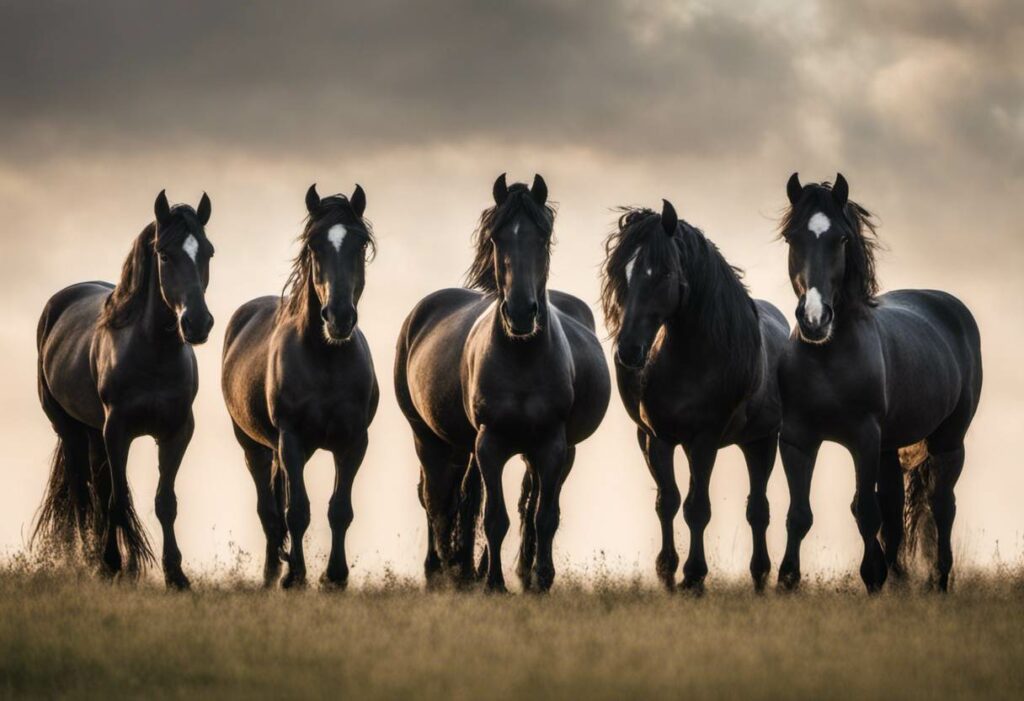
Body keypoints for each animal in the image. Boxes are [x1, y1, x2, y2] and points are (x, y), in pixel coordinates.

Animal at [34, 188, 215, 589]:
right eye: (164, 254)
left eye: (208, 251)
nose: (197, 323)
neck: (152, 353)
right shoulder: (117, 430)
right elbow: (115, 501)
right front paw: (111, 564)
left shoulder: (178, 431)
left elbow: (165, 502)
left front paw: (175, 574)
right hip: (70, 430)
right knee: (83, 494)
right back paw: (89, 560)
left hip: (94, 434)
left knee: (97, 489)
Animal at [223, 183, 380, 589]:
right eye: (314, 245)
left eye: (360, 243)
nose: (339, 317)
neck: (326, 360)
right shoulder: (290, 440)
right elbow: (297, 511)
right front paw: (296, 576)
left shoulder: (353, 442)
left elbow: (340, 510)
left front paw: (335, 577)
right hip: (255, 447)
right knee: (269, 510)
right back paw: (271, 574)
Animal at [393, 173, 606, 589]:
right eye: (497, 237)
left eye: (543, 236)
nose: (521, 313)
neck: (521, 358)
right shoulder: (489, 444)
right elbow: (494, 517)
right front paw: (492, 582)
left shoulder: (551, 446)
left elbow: (543, 516)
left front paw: (540, 579)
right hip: (429, 437)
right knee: (435, 498)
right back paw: (442, 571)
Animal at [602, 198, 786, 589]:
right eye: (620, 272)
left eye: (664, 273)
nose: (629, 351)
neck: (687, 359)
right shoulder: (655, 438)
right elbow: (668, 502)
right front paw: (667, 571)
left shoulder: (704, 439)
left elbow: (697, 508)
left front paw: (694, 575)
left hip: (761, 442)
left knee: (758, 509)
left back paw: (760, 574)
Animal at [774, 173, 983, 589]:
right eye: (792, 237)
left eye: (841, 239)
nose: (815, 319)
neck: (826, 358)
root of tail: (949, 305)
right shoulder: (797, 440)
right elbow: (799, 513)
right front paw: (787, 580)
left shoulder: (864, 440)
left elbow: (865, 510)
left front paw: (872, 577)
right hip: (890, 449)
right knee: (894, 511)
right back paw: (900, 582)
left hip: (948, 442)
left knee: (942, 506)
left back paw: (939, 581)